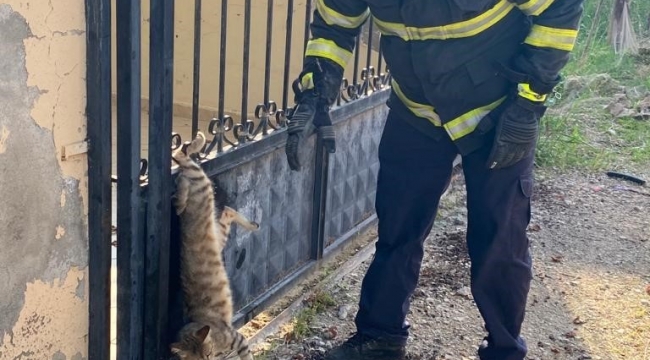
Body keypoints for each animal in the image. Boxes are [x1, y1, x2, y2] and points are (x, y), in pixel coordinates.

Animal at [170, 132, 260, 360]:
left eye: (209, 353)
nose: (210, 359)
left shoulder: (237, 338)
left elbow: (247, 356)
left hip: (201, 186)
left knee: (181, 157)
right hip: (220, 234)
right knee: (228, 210)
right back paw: (252, 224)